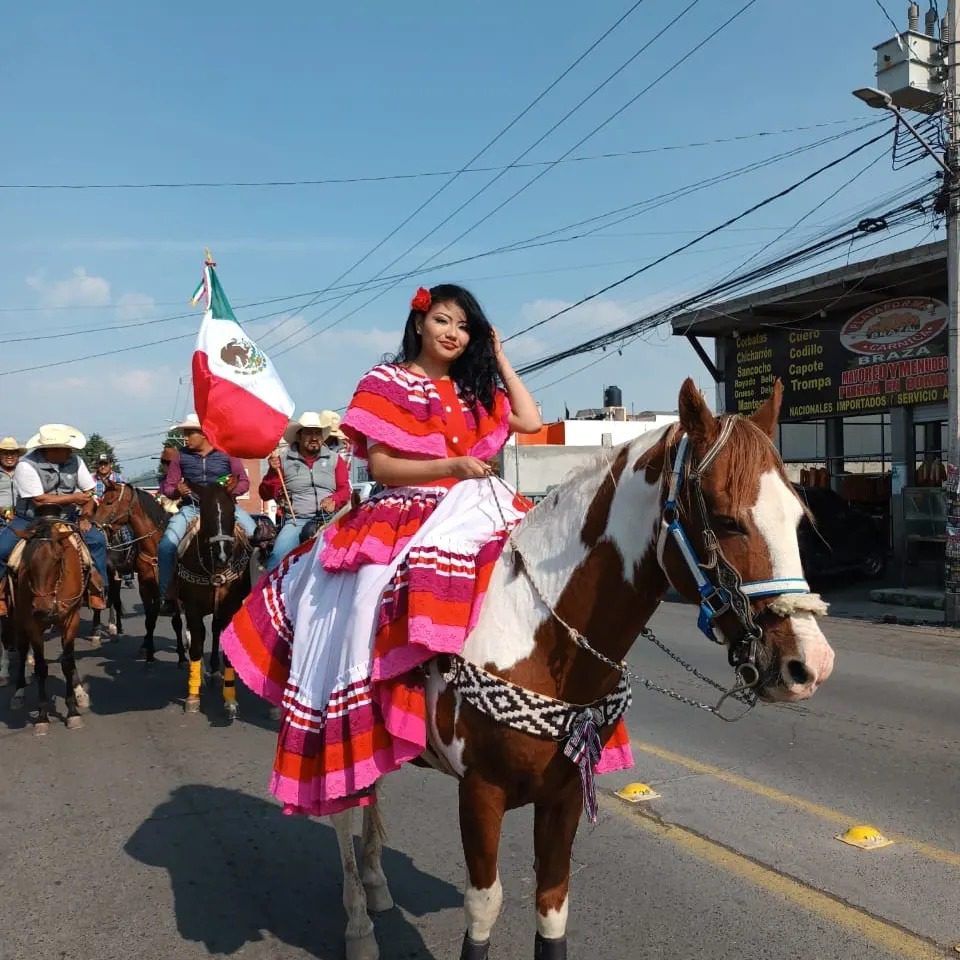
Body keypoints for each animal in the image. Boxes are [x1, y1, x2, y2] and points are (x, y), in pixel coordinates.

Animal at [9, 520, 93, 732]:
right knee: (22, 650)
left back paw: (80, 692)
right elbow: (40, 667)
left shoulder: (71, 620)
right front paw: (42, 716)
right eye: (28, 562)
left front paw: (73, 712)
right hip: (19, 619)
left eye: (57, 560)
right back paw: (19, 692)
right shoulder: (32, 624)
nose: (42, 608)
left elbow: (67, 663)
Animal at [93, 484, 185, 664]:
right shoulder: (145, 586)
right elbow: (149, 620)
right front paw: (148, 652)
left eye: (109, 502)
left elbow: (176, 621)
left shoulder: (173, 589)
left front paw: (182, 655)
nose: (94, 525)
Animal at [176, 484, 251, 716]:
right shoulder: (192, 609)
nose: (223, 556)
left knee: (215, 631)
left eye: (233, 513)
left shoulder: (230, 608)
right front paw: (192, 696)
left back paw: (216, 673)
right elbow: (195, 647)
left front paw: (230, 700)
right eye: (205, 514)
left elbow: (227, 648)